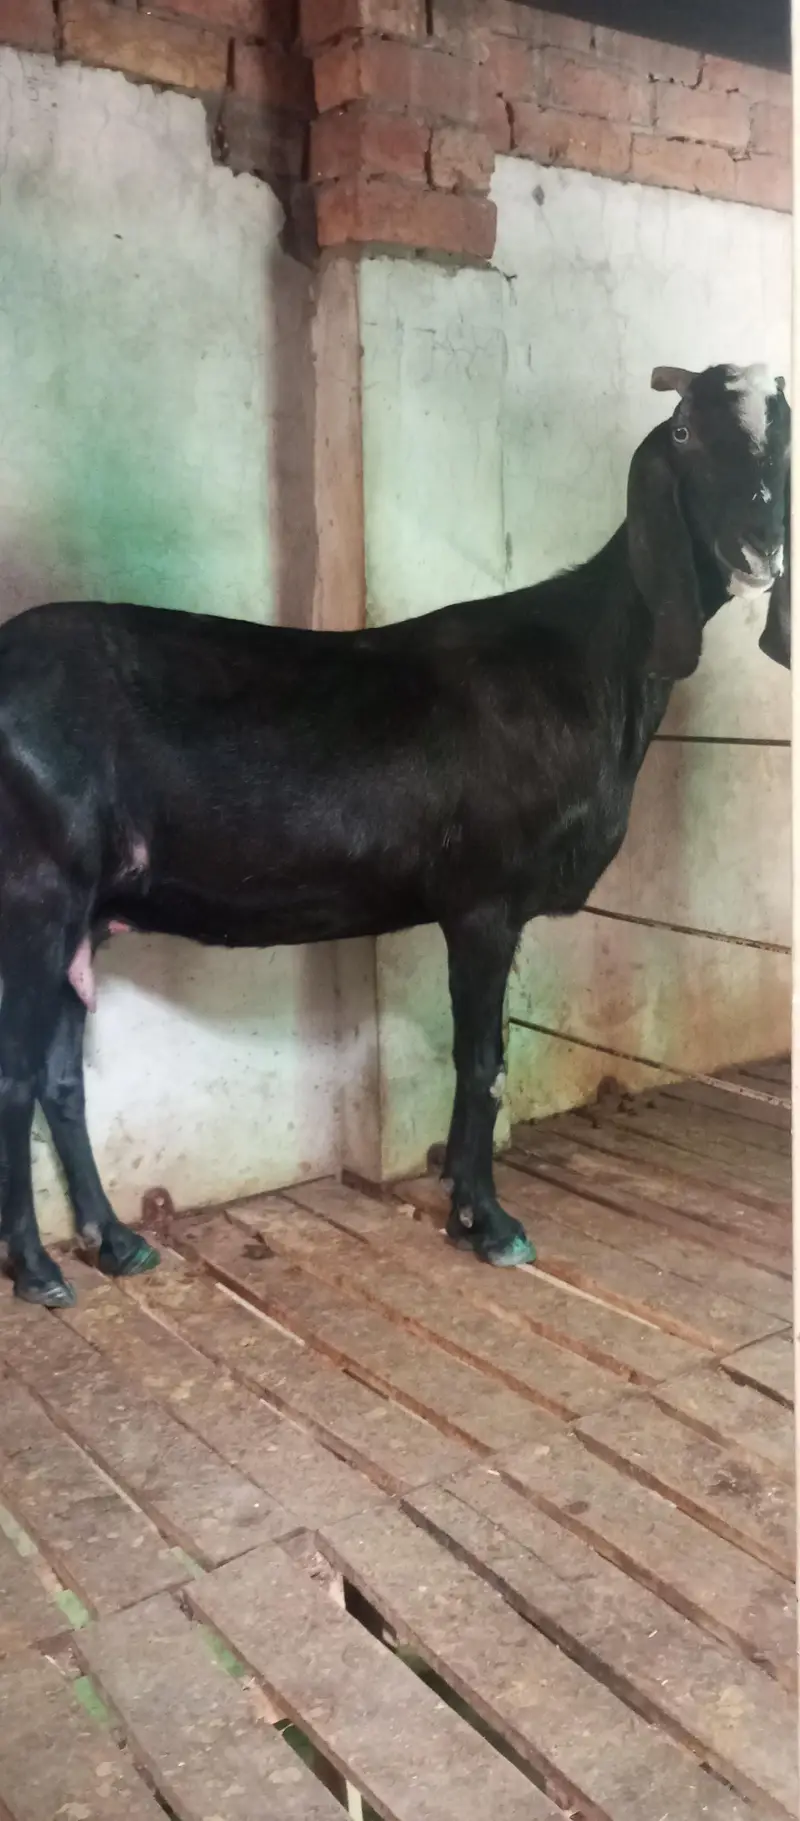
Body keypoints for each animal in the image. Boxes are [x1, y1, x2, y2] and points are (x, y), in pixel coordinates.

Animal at [0, 362, 790, 1306]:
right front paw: (486, 1220)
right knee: (13, 1075)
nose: (763, 540)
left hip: (84, 911)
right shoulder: (484, 899)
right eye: (683, 432)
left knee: (59, 1075)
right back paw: (39, 1268)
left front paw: (461, 1199)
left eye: (784, 429)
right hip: (34, 890)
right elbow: (483, 1058)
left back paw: (114, 1241)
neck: (589, 664)